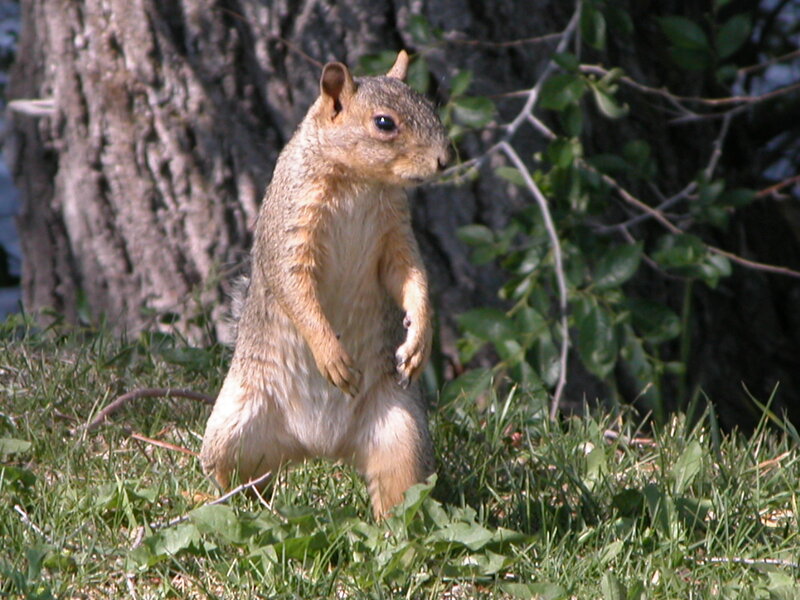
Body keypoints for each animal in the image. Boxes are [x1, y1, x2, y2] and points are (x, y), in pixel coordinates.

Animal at [199, 50, 451, 519]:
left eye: (430, 105)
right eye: (384, 123)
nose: (446, 159)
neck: (358, 182)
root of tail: (318, 447)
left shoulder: (395, 235)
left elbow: (411, 278)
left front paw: (419, 340)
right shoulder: (291, 226)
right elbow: (294, 288)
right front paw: (331, 354)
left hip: (401, 433)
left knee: (398, 491)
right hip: (232, 430)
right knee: (240, 481)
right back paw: (227, 507)